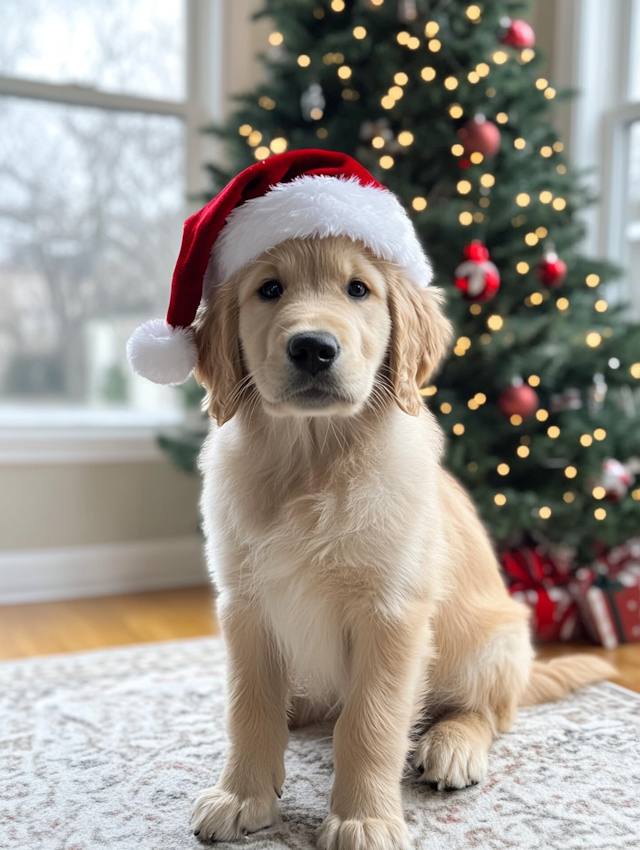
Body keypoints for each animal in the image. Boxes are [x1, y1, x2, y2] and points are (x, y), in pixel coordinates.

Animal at [191, 234, 616, 848]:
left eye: (358, 289)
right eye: (269, 289)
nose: (313, 348)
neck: (312, 463)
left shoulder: (391, 613)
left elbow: (369, 722)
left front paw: (363, 819)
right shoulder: (246, 606)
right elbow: (250, 709)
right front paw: (241, 795)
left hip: (494, 643)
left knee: (483, 713)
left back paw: (451, 747)